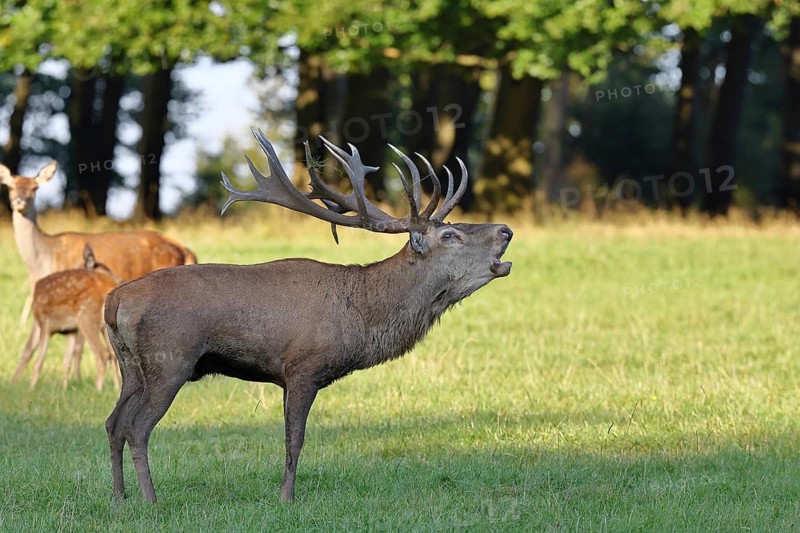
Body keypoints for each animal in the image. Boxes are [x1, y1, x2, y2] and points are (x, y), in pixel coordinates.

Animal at [13, 244, 122, 390]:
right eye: (105, 269)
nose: (121, 280)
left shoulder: (44, 324)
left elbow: (38, 362)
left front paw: (31, 389)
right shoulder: (71, 330)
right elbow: (66, 362)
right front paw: (64, 388)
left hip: (86, 316)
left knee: (103, 354)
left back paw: (98, 389)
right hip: (102, 326)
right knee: (112, 354)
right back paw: (116, 388)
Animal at [103, 129, 513, 503]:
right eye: (450, 235)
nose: (506, 230)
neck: (361, 316)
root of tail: (115, 299)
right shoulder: (303, 366)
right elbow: (295, 440)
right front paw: (286, 497)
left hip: (130, 366)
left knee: (113, 422)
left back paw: (119, 497)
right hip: (170, 359)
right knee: (137, 427)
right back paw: (150, 499)